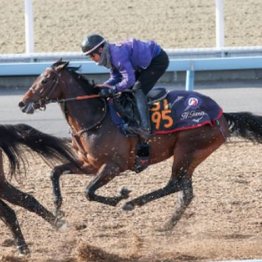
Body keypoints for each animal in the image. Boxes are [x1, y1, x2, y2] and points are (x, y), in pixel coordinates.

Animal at [18, 59, 262, 231]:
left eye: (45, 80)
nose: (22, 102)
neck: (96, 116)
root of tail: (221, 114)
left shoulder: (114, 166)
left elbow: (88, 191)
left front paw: (121, 196)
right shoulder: (89, 164)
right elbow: (55, 172)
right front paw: (58, 209)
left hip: (187, 150)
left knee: (174, 184)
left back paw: (133, 204)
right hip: (191, 156)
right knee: (185, 192)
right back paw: (166, 225)